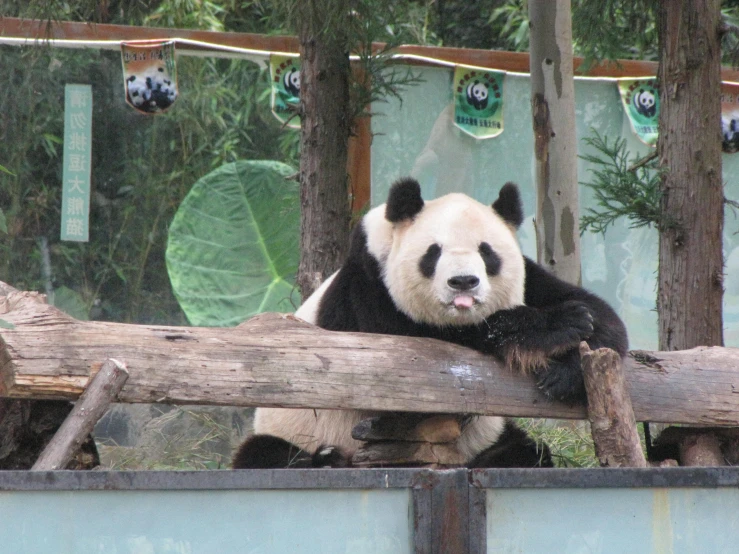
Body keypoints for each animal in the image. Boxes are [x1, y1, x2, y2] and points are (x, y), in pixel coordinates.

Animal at [234, 176, 628, 466]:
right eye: (433, 253)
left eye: (487, 252)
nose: (463, 282)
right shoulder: (366, 288)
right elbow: (422, 355)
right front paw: (558, 325)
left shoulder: (530, 278)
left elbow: (602, 315)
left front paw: (568, 365)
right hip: (293, 425)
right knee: (264, 454)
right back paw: (326, 459)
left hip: (489, 435)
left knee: (525, 451)